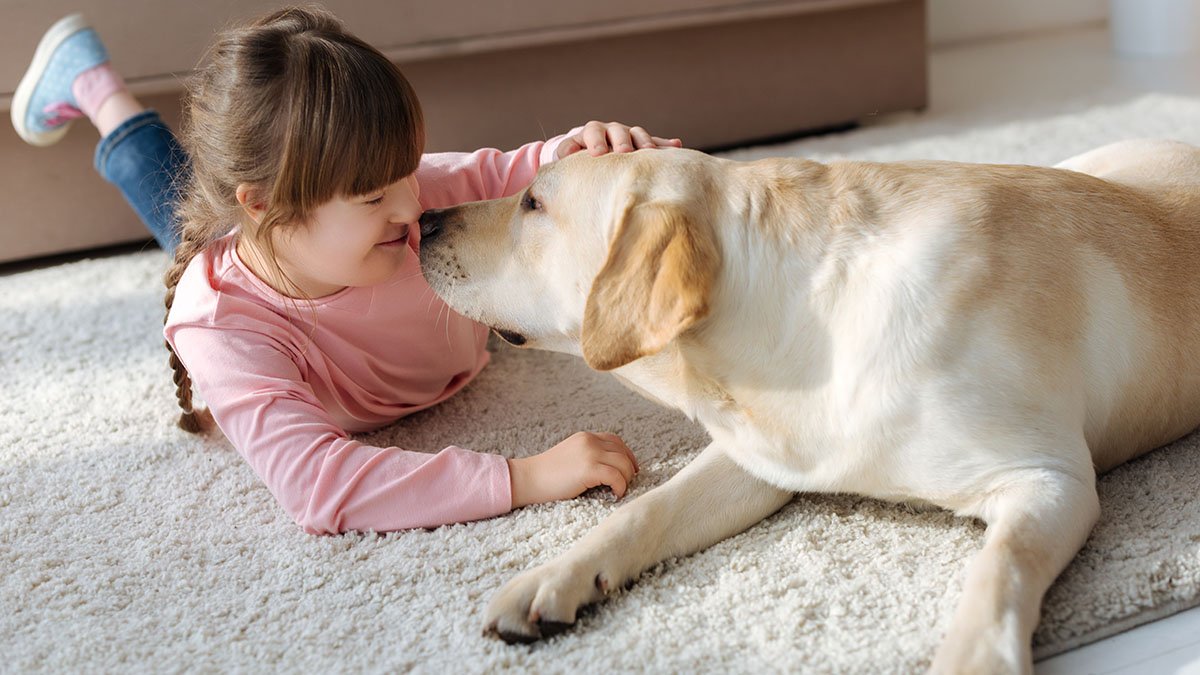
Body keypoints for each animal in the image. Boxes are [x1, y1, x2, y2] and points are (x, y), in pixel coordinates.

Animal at [415, 138, 1200, 672]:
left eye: (534, 203)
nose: (424, 218)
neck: (808, 318)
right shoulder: (762, 455)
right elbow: (646, 509)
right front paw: (552, 577)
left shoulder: (1050, 478)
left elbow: (1000, 565)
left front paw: (972, 656)